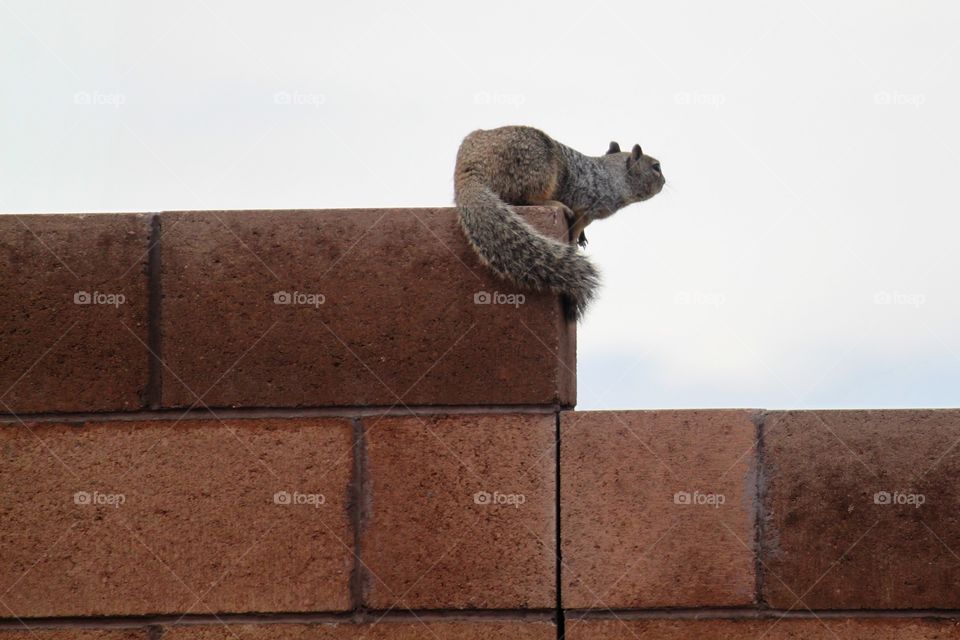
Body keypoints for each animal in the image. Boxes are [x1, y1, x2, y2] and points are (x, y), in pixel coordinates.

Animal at [454, 125, 664, 320]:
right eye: (656, 167)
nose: (664, 182)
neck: (612, 177)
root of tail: (469, 166)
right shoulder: (586, 207)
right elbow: (577, 225)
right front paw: (574, 242)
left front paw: (582, 238)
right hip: (535, 170)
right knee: (524, 198)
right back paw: (555, 204)